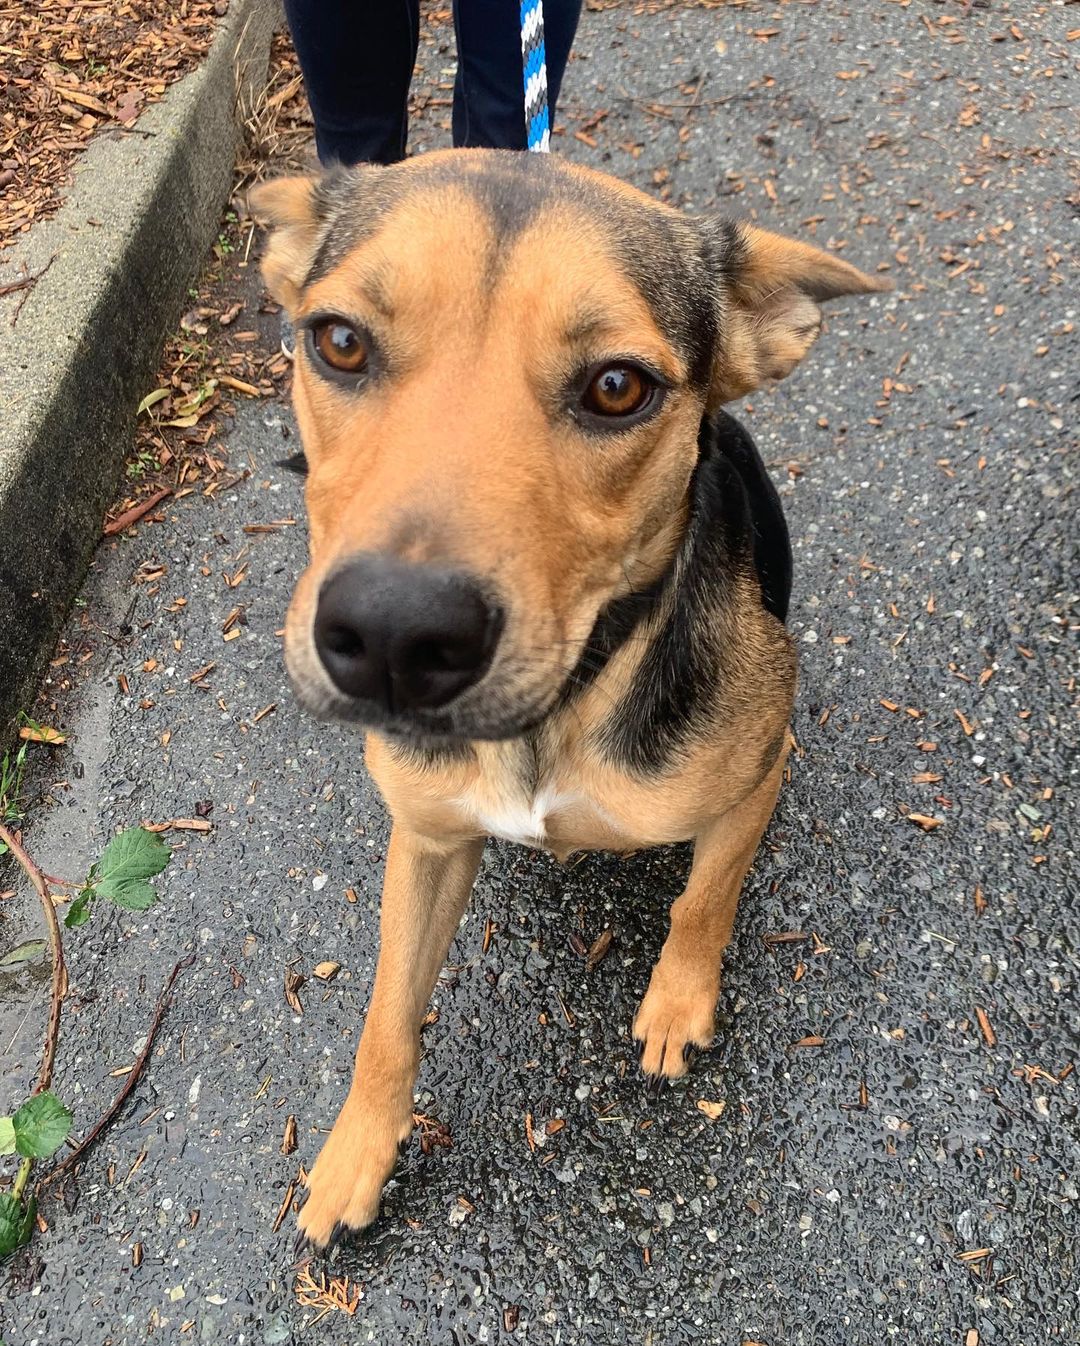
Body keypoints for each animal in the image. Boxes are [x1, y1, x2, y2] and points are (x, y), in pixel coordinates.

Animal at [250, 150, 883, 1249]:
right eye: (338, 341)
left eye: (617, 387)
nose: (394, 637)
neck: (555, 711)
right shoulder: (425, 839)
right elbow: (385, 1015)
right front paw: (357, 1151)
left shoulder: (759, 774)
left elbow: (703, 900)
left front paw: (677, 1003)